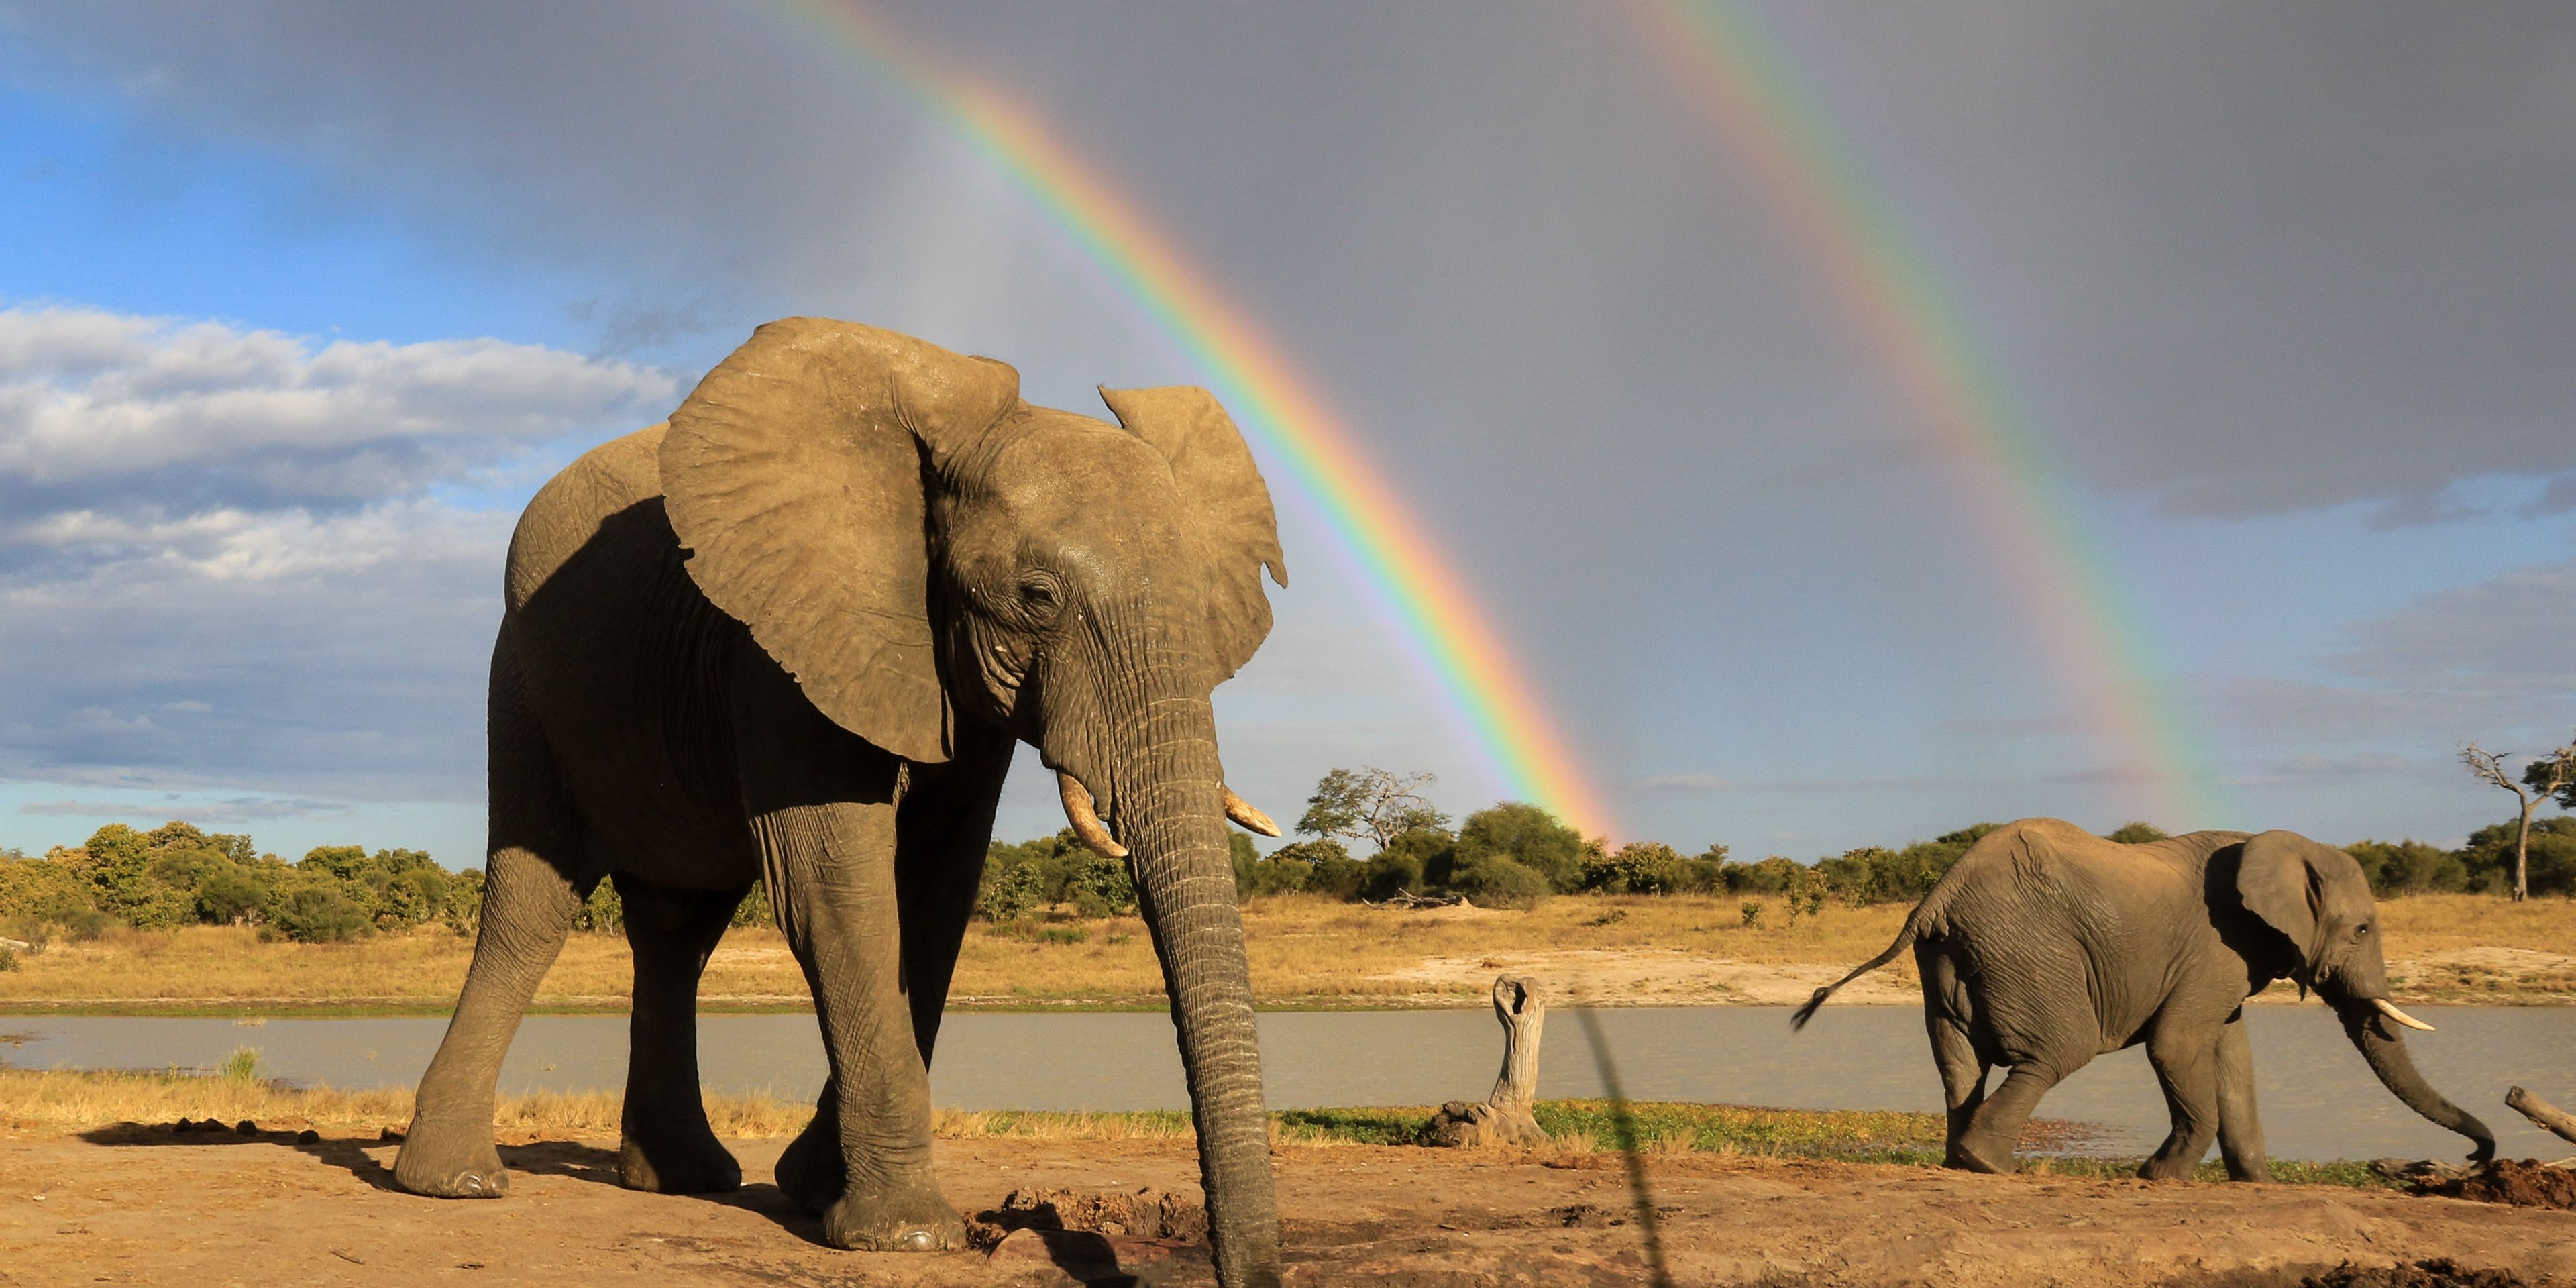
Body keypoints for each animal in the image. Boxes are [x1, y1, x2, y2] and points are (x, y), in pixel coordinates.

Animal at [392, 318, 1290, 1287]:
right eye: (1038, 598)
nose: (1245, 1274)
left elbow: (935, 894)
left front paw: (814, 1191)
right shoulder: (780, 641)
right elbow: (838, 887)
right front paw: (905, 1234)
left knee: (677, 930)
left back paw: (685, 1179)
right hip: (526, 680)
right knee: (534, 902)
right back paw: (456, 1184)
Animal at [1793, 818, 2494, 1180]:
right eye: (2364, 931)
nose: (2470, 1159)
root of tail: (1943, 890)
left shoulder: (2226, 963)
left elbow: (2232, 1056)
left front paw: (2256, 1184)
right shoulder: (2218, 945)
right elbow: (2177, 1045)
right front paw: (2158, 1180)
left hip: (1948, 957)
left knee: (1959, 1063)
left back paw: (1960, 1162)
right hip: (2030, 949)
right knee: (2057, 1051)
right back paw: (1989, 1165)